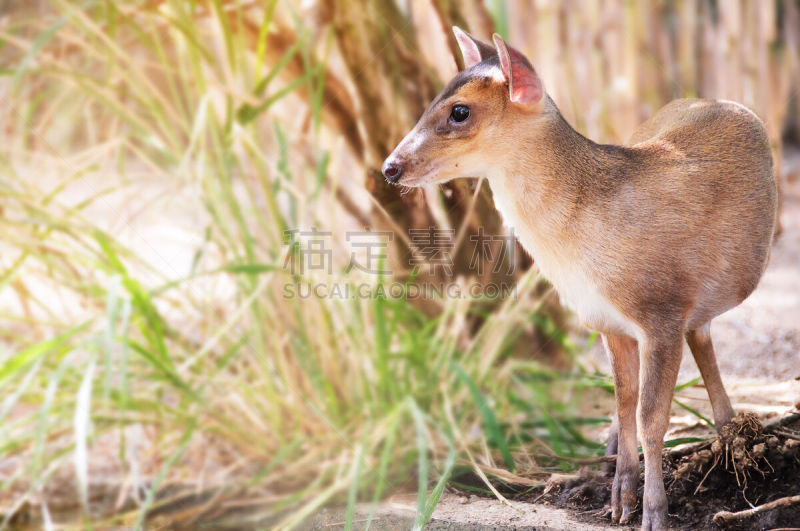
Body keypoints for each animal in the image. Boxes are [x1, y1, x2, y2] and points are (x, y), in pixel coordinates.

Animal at [384, 28, 780, 528]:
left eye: (459, 111)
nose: (390, 167)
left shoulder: (662, 310)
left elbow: (651, 417)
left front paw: (655, 512)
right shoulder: (609, 322)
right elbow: (624, 402)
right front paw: (621, 497)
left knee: (702, 339)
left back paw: (733, 434)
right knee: (692, 346)